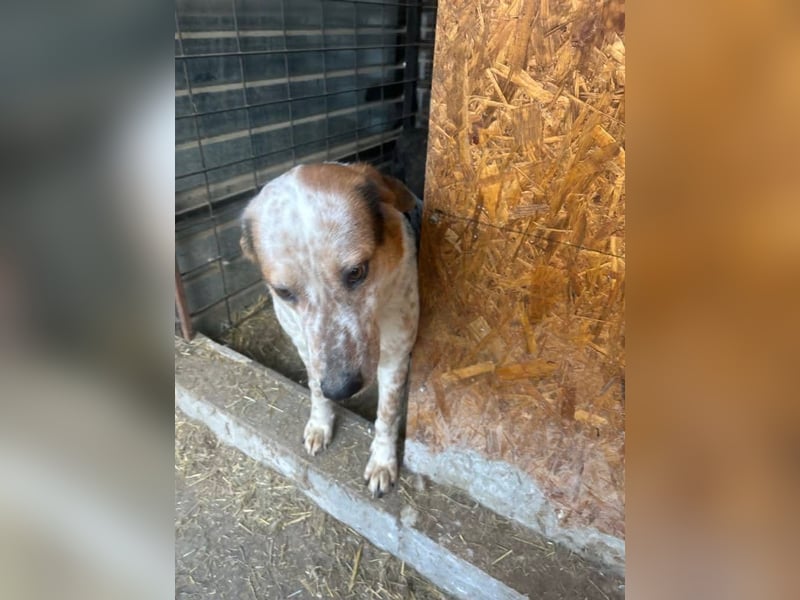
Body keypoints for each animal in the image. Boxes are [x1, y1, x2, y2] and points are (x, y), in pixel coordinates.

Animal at [240, 162, 421, 498]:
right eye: (283, 292)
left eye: (357, 272)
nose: (340, 389)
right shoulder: (305, 345)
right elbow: (314, 388)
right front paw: (320, 425)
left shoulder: (396, 356)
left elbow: (387, 414)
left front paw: (382, 461)